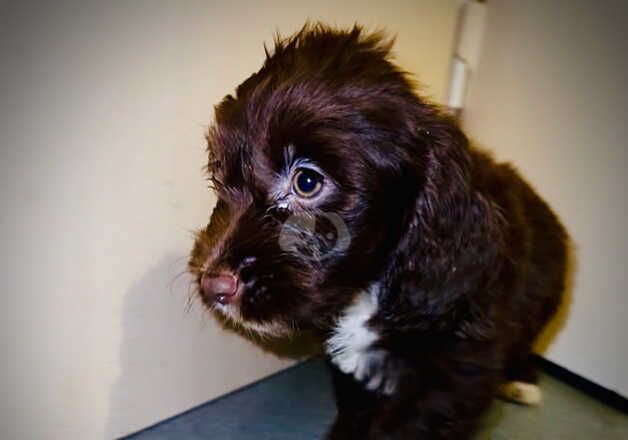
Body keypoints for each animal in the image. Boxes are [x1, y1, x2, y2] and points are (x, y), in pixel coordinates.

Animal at [189, 24, 568, 440]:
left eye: (307, 182)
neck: (372, 286)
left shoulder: (452, 376)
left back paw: (522, 381)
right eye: (220, 176)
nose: (213, 285)